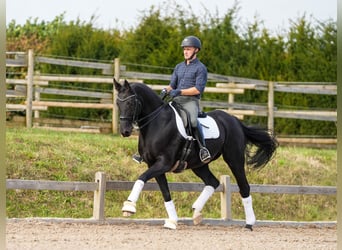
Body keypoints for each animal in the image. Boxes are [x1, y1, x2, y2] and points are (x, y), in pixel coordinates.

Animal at [115, 79, 278, 229]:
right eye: (118, 103)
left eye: (130, 103)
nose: (125, 131)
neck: (157, 124)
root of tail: (235, 120)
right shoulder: (154, 164)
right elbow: (165, 192)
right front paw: (173, 220)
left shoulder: (164, 163)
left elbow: (141, 178)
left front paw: (129, 206)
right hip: (199, 165)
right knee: (213, 182)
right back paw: (196, 212)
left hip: (234, 159)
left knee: (244, 186)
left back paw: (249, 223)